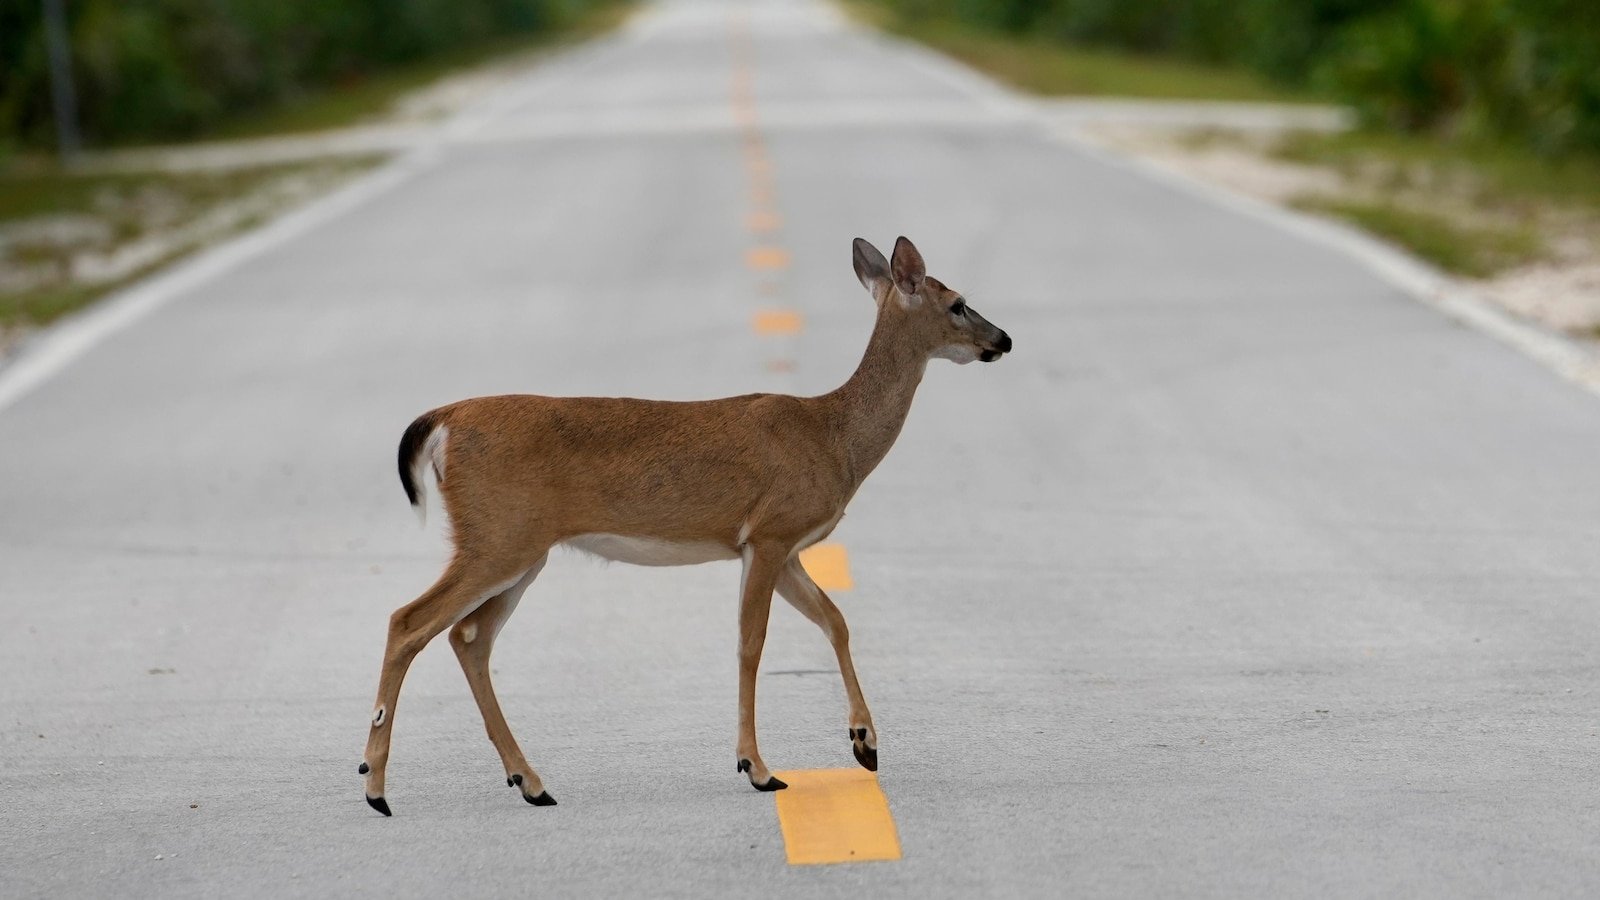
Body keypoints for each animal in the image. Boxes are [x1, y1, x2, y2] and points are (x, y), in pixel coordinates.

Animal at [363, 237, 1011, 813]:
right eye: (958, 302)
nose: (1003, 339)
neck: (833, 436)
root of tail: (444, 419)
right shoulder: (770, 532)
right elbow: (752, 643)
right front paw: (758, 768)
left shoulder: (782, 549)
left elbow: (835, 620)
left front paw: (865, 744)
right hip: (498, 536)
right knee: (409, 620)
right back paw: (376, 787)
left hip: (522, 548)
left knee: (469, 636)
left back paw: (531, 783)